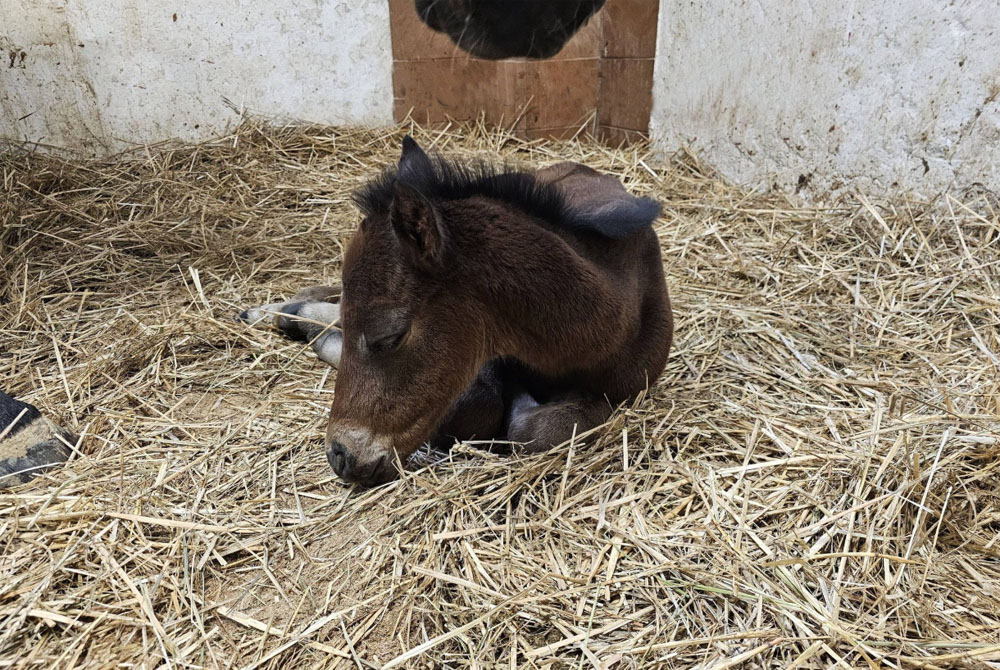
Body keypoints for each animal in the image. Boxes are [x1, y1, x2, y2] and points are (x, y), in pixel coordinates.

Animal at [240, 136, 672, 486]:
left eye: (390, 336)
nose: (340, 456)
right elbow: (480, 402)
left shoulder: (626, 388)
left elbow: (540, 428)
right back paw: (276, 312)